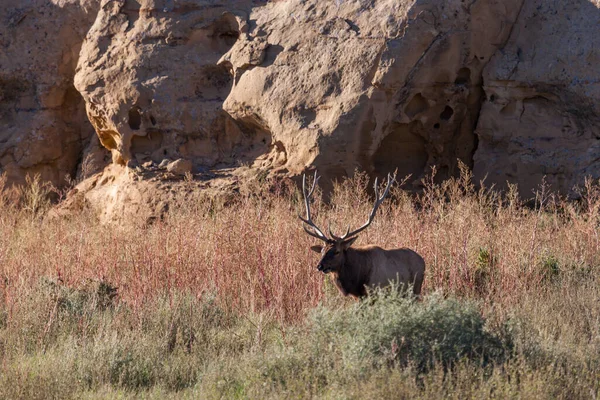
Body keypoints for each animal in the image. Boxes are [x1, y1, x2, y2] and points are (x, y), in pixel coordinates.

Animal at [298, 170, 424, 298]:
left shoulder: (375, 291)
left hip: (416, 289)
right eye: (322, 250)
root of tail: (423, 261)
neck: (356, 281)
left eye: (337, 251)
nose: (320, 266)